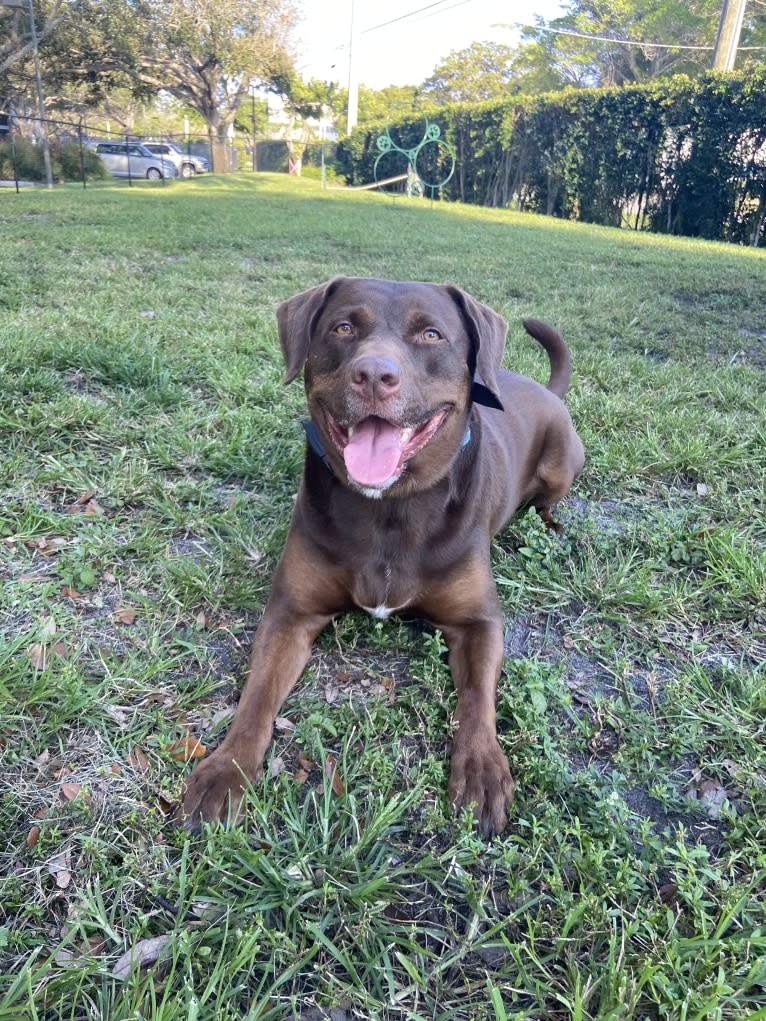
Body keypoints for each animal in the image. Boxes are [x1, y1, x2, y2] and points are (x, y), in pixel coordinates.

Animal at [181, 275, 588, 833]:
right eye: (343, 327)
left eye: (432, 334)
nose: (374, 375)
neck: (391, 506)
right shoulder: (291, 612)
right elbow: (257, 694)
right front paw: (226, 769)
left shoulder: (478, 621)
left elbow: (478, 697)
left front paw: (482, 769)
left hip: (562, 465)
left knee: (549, 499)